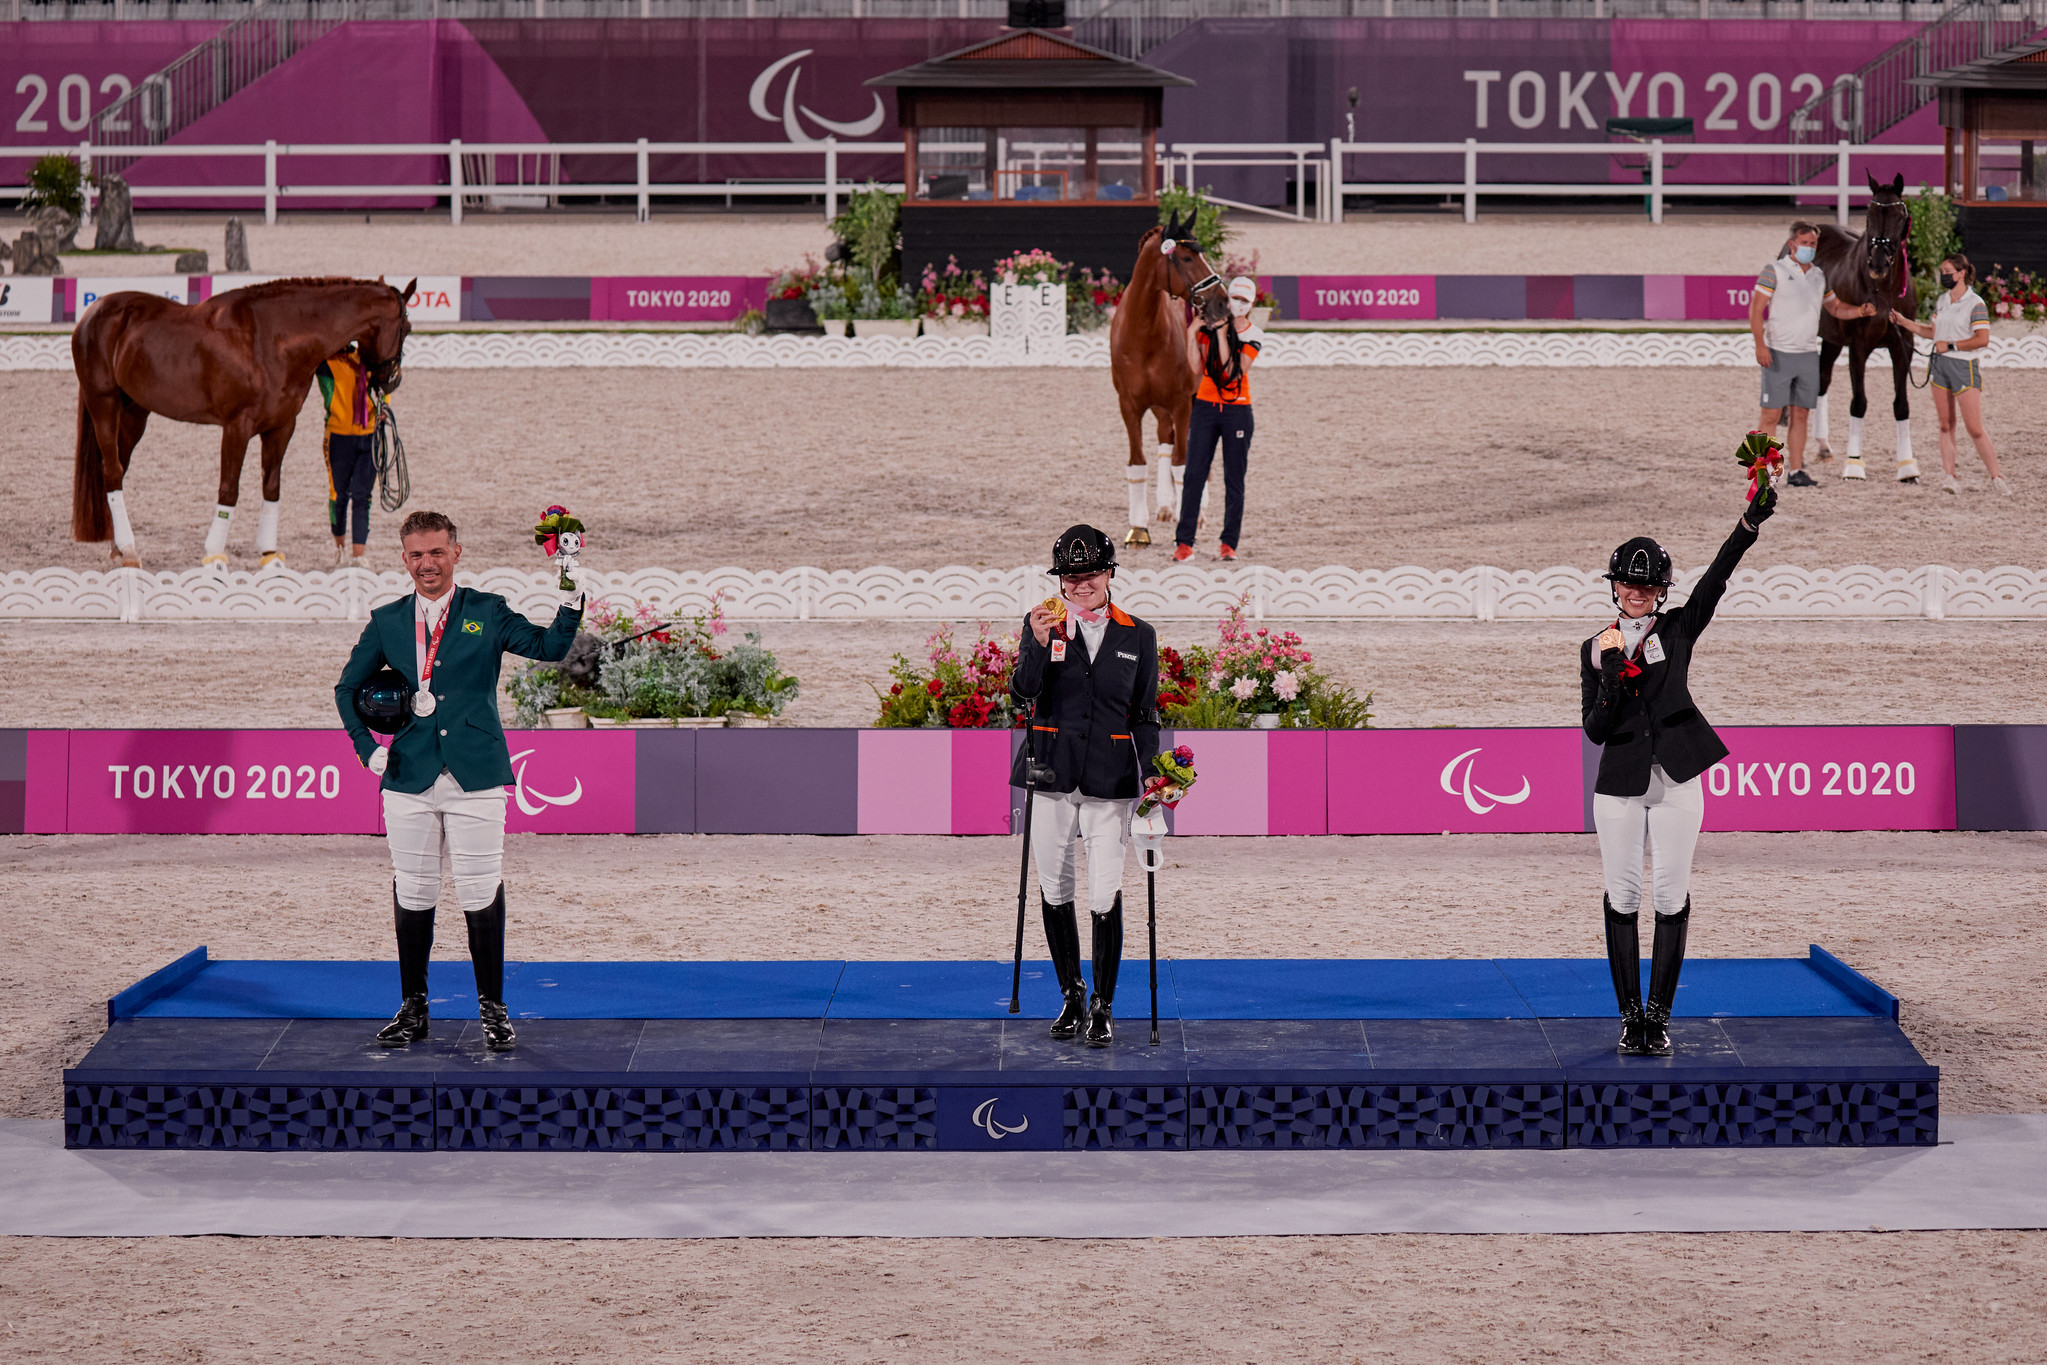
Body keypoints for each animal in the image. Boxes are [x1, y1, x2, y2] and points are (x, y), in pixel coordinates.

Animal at [74, 278, 413, 564]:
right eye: (407, 327)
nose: (393, 380)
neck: (273, 338)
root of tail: (92, 313)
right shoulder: (237, 427)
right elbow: (229, 490)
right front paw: (213, 554)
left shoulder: (281, 426)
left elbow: (272, 487)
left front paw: (269, 553)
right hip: (103, 404)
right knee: (112, 470)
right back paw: (129, 550)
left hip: (135, 412)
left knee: (118, 470)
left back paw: (118, 549)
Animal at [1113, 210, 1220, 548]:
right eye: (1185, 257)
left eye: (1203, 254)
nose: (1222, 300)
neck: (1143, 332)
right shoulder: (1129, 406)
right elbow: (1138, 463)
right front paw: (1138, 530)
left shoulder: (1182, 403)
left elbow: (1184, 465)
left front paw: (1188, 525)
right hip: (1161, 407)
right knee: (1164, 438)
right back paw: (1164, 506)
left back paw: (1199, 513)